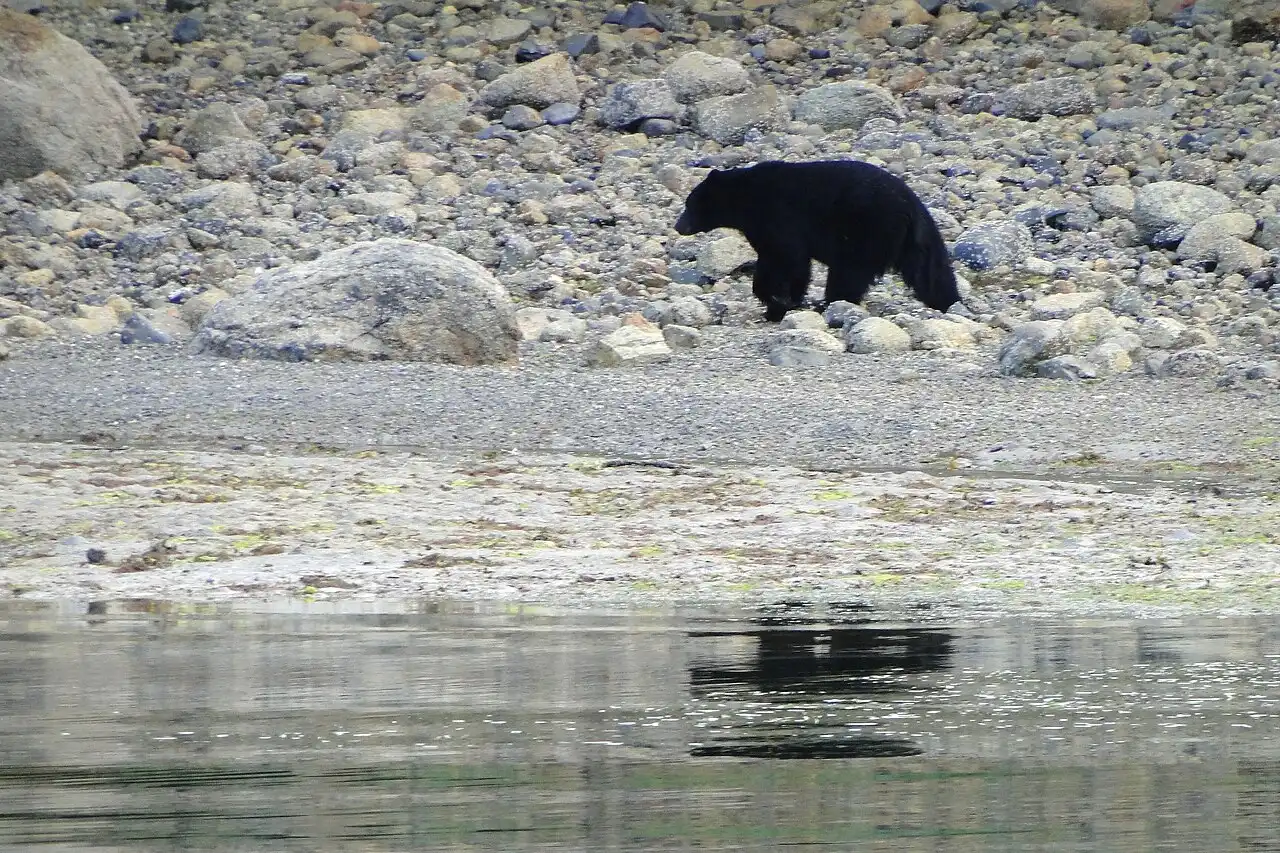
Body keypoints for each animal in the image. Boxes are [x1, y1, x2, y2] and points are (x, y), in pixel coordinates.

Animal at [674, 159, 961, 322]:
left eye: (690, 204)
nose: (678, 226)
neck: (745, 198)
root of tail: (912, 204)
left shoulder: (777, 216)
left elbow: (787, 258)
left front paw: (777, 301)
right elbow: (784, 261)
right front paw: (783, 300)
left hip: (868, 230)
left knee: (849, 272)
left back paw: (829, 304)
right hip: (912, 241)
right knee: (930, 272)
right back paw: (949, 302)